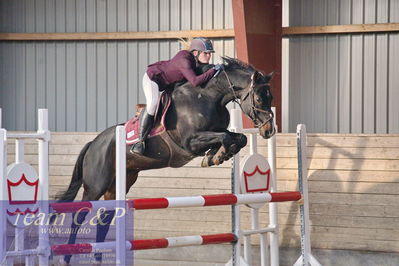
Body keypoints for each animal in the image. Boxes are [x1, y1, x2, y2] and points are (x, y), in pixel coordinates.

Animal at [55, 56, 276, 264]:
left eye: (270, 97)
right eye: (258, 98)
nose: (269, 131)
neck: (209, 97)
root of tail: (93, 143)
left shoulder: (214, 133)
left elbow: (238, 137)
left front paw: (217, 155)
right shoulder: (190, 142)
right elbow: (225, 137)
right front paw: (218, 155)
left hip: (119, 184)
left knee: (105, 219)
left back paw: (99, 257)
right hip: (96, 185)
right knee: (79, 215)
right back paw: (67, 256)